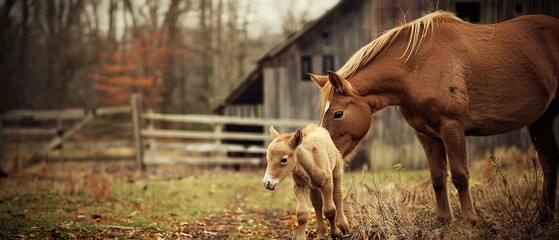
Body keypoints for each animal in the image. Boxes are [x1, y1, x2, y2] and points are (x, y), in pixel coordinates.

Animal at [310, 10, 559, 225]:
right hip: (541, 120)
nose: (325, 155)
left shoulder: (451, 127)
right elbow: (438, 178)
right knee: (549, 162)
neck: (416, 67)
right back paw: (544, 217)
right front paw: (444, 221)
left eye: (338, 113)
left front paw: (470, 220)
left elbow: (459, 175)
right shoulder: (426, 134)